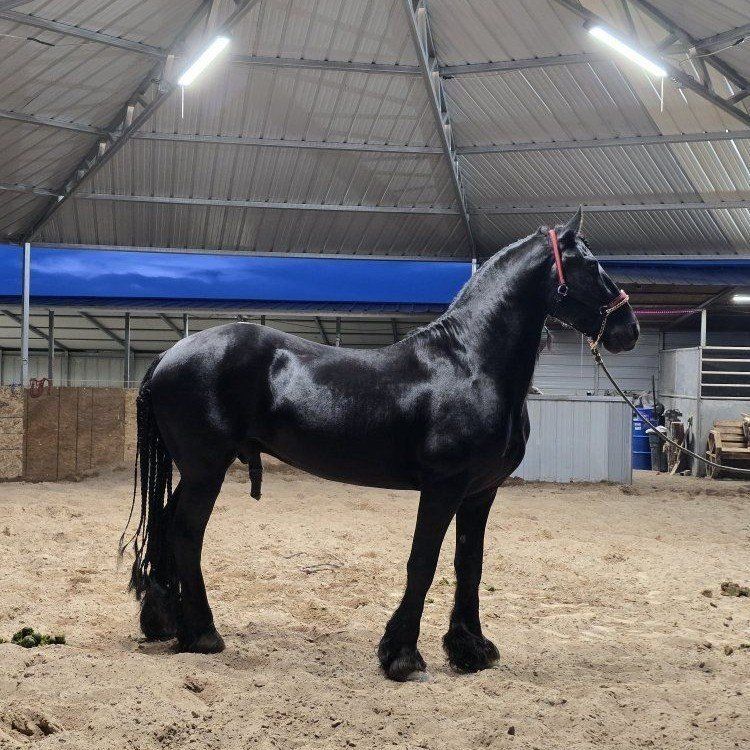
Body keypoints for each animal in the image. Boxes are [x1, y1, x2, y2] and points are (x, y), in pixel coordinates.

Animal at [120, 209, 639, 681]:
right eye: (591, 264)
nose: (628, 329)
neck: (470, 363)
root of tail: (169, 355)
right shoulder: (443, 488)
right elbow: (423, 562)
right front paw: (403, 656)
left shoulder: (480, 492)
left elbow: (469, 564)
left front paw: (472, 650)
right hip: (206, 469)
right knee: (186, 533)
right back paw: (203, 633)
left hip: (194, 471)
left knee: (166, 527)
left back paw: (164, 622)